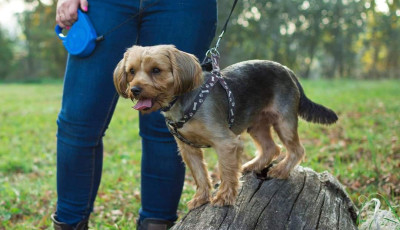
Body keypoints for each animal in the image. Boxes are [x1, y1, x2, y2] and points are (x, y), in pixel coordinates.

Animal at [112, 44, 338, 209]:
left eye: (156, 70)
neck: (181, 100)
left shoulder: (226, 142)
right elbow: (200, 175)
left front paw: (223, 197)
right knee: (271, 148)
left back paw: (281, 170)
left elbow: (226, 171)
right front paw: (201, 198)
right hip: (256, 124)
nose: (135, 89)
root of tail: (288, 71)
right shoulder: (188, 149)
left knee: (296, 149)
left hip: (284, 121)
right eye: (131, 71)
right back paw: (252, 166)